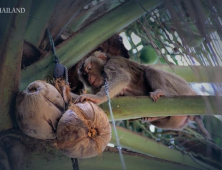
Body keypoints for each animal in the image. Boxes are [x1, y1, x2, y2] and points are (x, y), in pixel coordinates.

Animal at [75, 51, 210, 136]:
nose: (90, 78)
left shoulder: (112, 63)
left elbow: (122, 77)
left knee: (150, 70)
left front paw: (95, 98)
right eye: (85, 75)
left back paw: (162, 92)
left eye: (89, 68)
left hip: (180, 87)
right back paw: (153, 117)